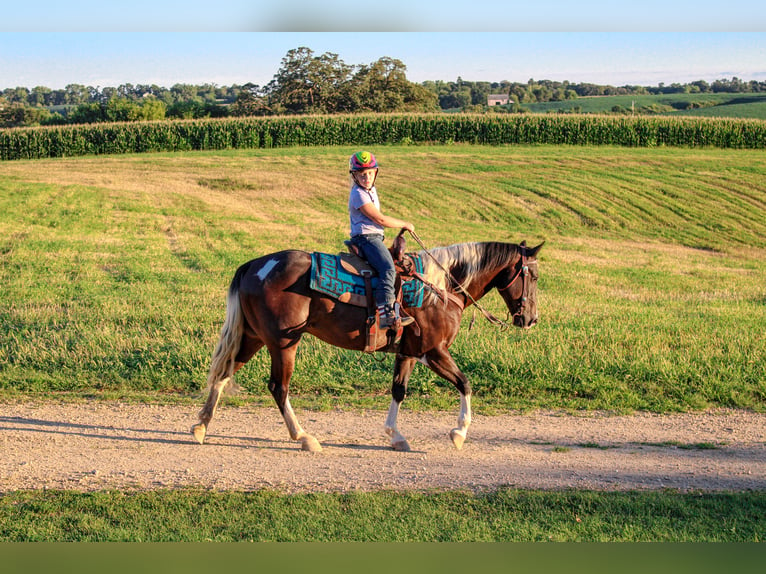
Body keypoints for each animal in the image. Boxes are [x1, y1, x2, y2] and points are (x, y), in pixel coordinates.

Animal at [194, 235, 544, 454]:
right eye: (534, 277)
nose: (530, 320)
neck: (442, 288)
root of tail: (255, 265)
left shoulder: (409, 352)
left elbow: (399, 390)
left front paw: (396, 437)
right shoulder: (433, 350)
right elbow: (465, 383)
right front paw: (459, 434)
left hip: (253, 337)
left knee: (223, 374)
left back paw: (201, 426)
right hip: (283, 343)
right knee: (278, 387)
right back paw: (304, 437)